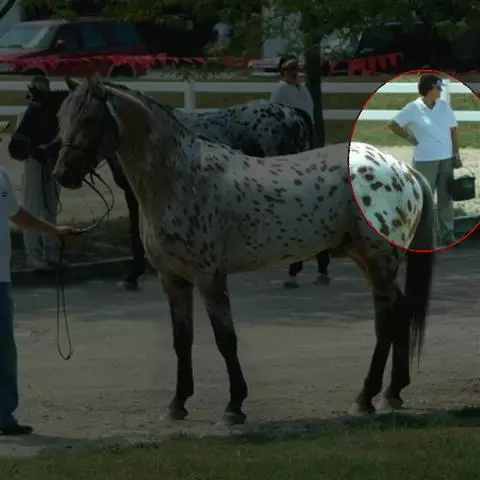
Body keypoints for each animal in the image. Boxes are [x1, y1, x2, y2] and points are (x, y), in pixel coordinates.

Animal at [53, 76, 435, 426]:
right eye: (60, 117)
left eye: (90, 119)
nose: (62, 175)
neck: (180, 177)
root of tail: (403, 170)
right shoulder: (172, 279)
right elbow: (182, 341)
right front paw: (178, 404)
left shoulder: (209, 277)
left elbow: (226, 339)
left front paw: (234, 405)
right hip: (365, 260)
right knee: (400, 312)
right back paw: (392, 392)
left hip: (379, 261)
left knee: (385, 323)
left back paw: (365, 398)